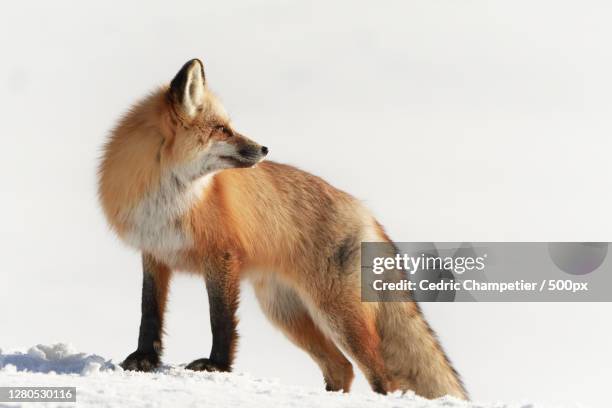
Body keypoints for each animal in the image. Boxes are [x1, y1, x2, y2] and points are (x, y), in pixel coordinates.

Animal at [98, 58, 466, 398]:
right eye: (222, 129)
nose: (264, 148)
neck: (168, 198)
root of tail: (364, 210)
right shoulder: (154, 252)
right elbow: (149, 312)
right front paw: (144, 359)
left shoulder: (221, 257)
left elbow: (221, 320)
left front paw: (217, 366)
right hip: (286, 314)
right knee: (342, 368)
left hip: (337, 315)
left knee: (383, 377)